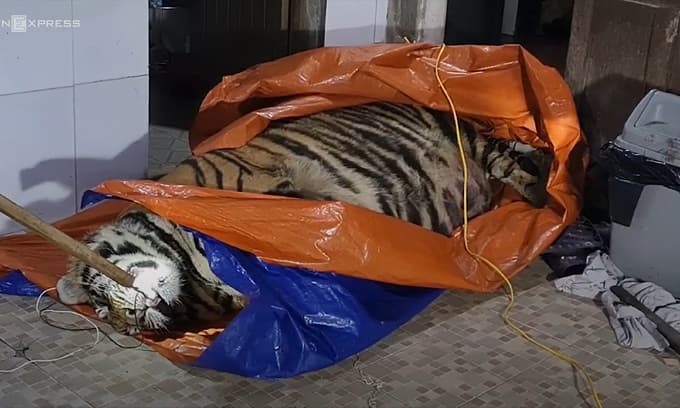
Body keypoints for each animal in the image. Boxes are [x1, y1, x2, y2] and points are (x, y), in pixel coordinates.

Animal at [56, 102, 553, 335]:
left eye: (100, 293)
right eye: (104, 314)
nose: (135, 318)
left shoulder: (270, 185)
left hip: (473, 143)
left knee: (519, 165)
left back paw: (549, 197)